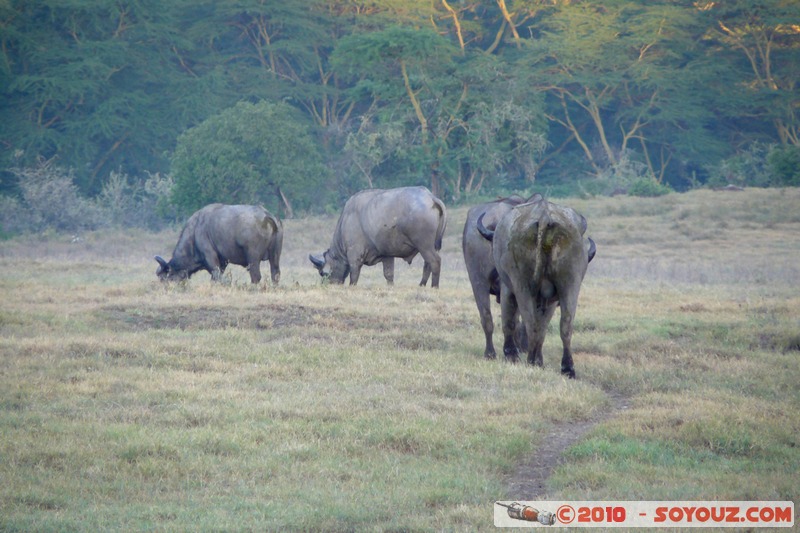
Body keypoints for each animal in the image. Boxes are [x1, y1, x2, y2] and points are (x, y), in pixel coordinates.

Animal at [310, 186, 447, 287]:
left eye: (323, 273)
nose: (326, 285)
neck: (346, 221)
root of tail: (431, 198)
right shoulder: (387, 256)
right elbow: (388, 274)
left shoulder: (354, 255)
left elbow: (354, 275)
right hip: (432, 246)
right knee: (427, 264)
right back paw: (422, 285)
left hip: (424, 245)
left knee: (435, 261)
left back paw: (434, 286)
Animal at [477, 197, 595, 378]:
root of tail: (545, 218)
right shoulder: (552, 300)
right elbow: (543, 327)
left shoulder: (507, 289)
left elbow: (509, 322)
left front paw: (511, 354)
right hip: (570, 284)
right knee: (565, 325)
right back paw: (567, 367)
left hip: (523, 287)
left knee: (530, 322)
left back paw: (531, 361)